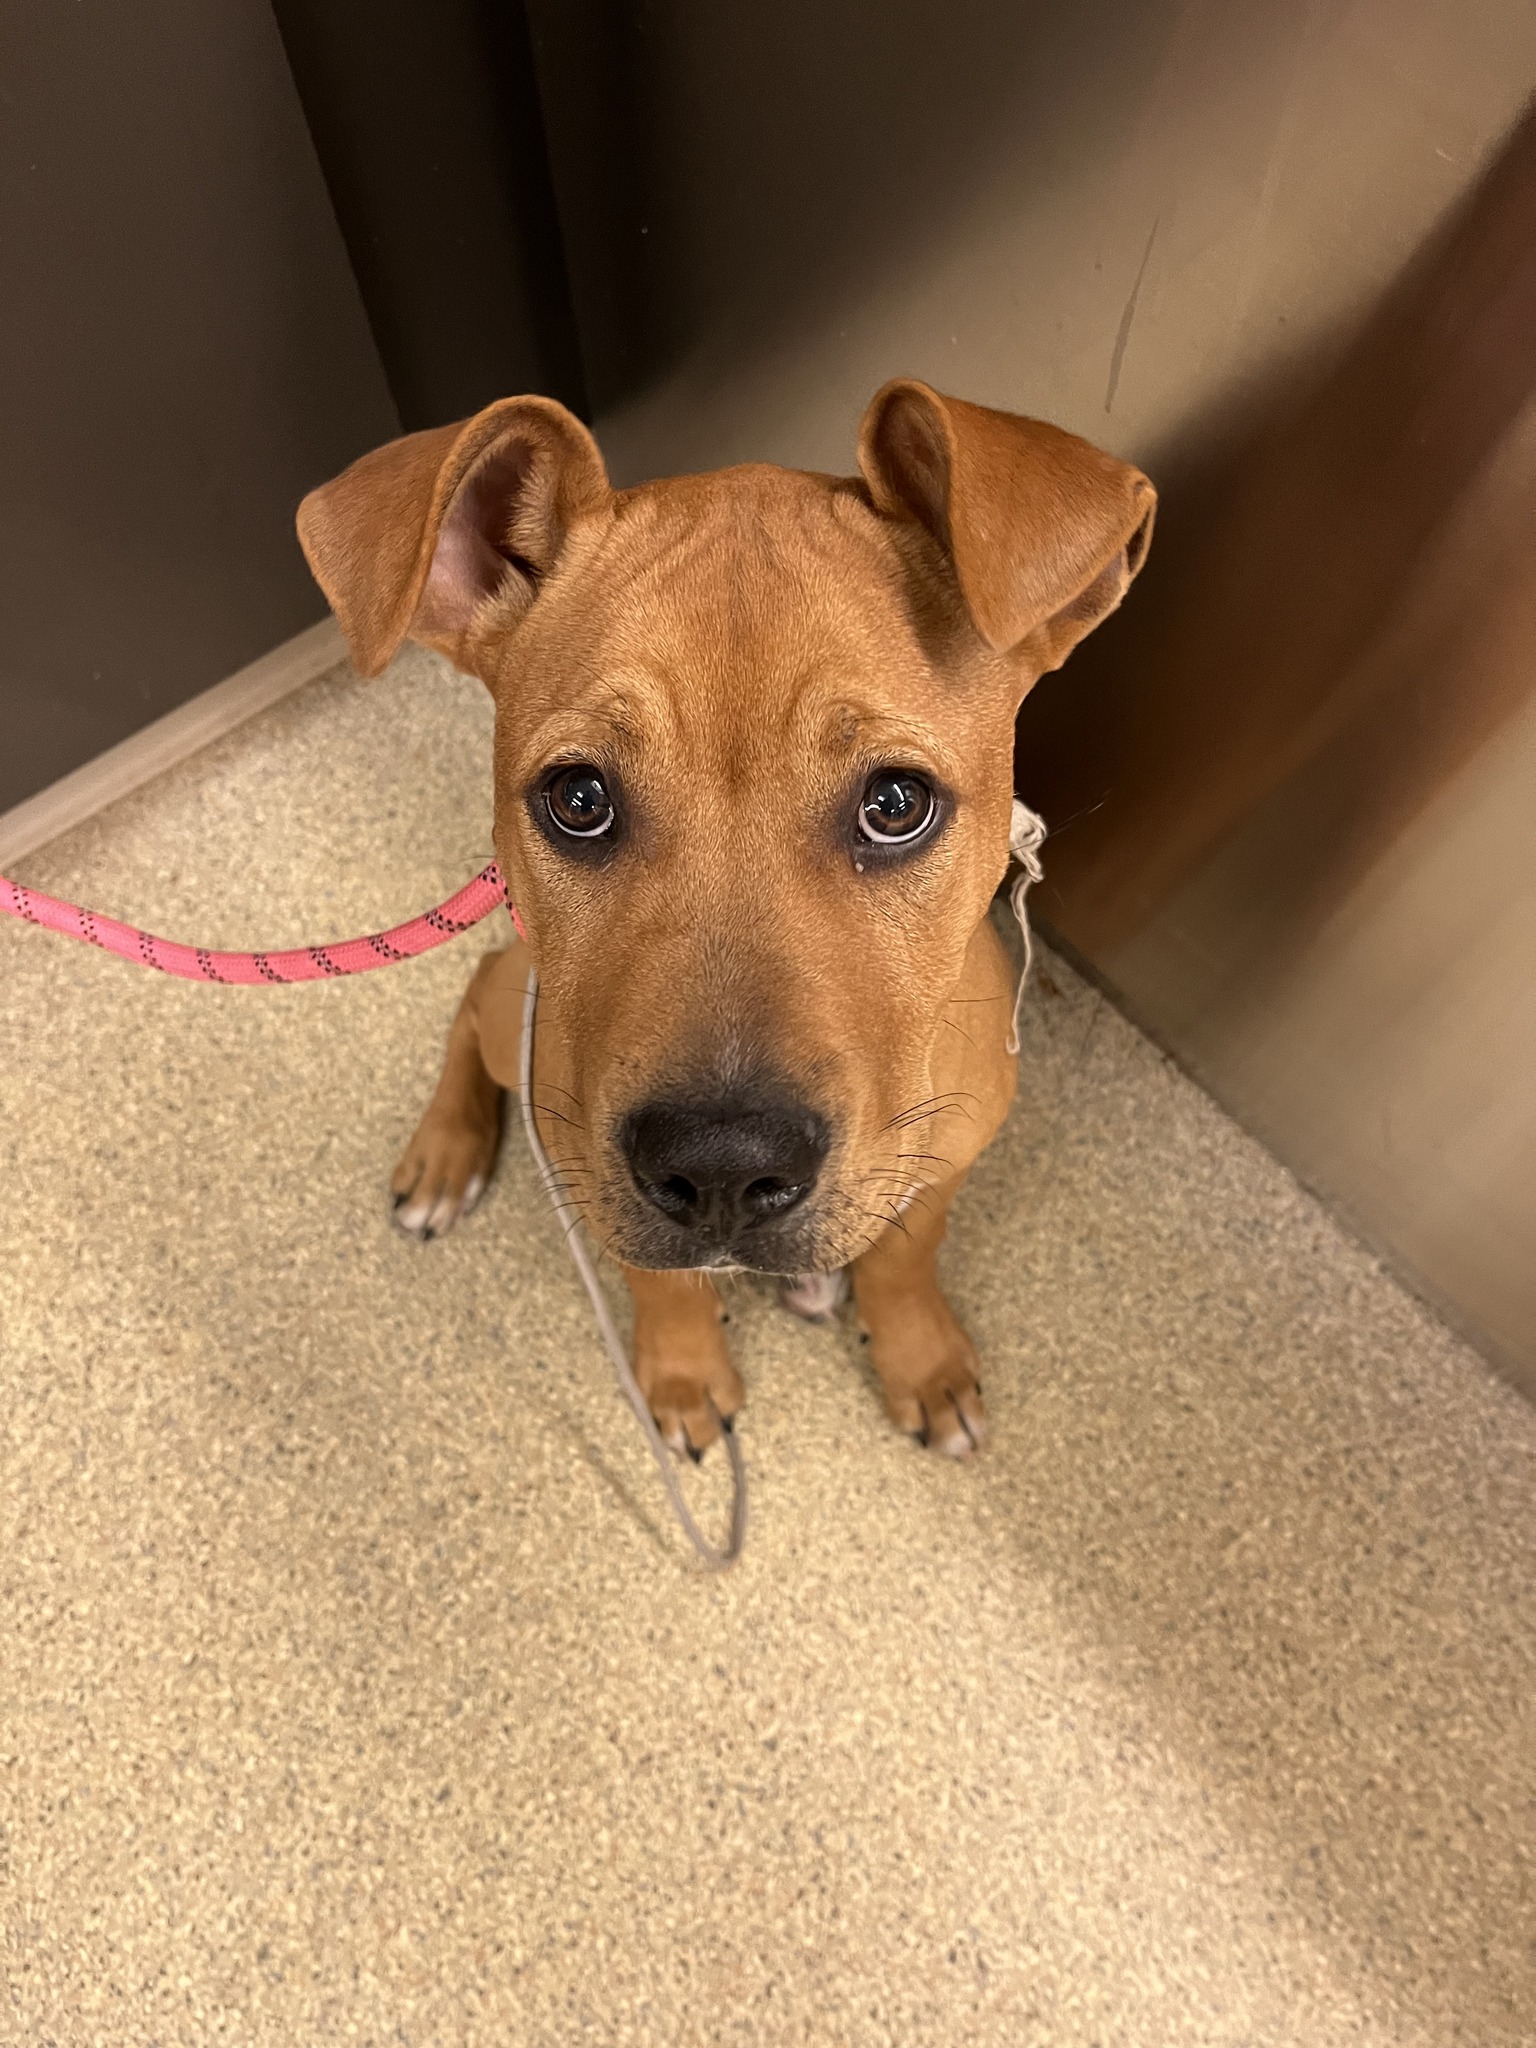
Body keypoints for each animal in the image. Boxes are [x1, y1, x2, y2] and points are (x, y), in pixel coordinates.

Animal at [296, 385, 1155, 1466]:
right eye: (578, 799)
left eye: (897, 804)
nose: (721, 1167)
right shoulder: (593, 1172)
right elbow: (658, 1280)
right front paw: (682, 1374)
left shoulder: (946, 1154)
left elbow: (906, 1255)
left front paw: (921, 1361)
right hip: (516, 1019)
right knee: (477, 983)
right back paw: (445, 1152)